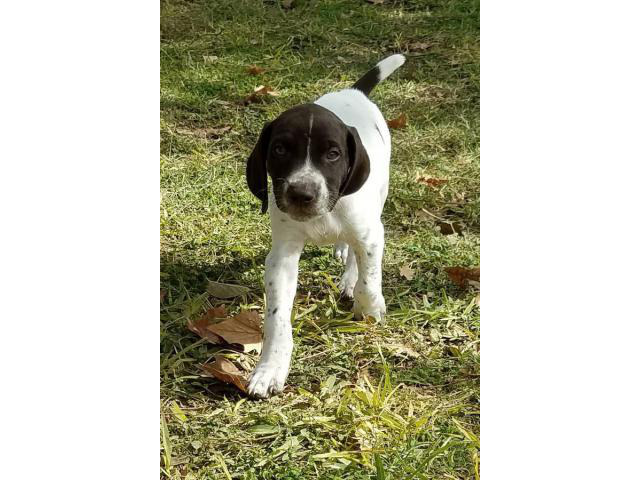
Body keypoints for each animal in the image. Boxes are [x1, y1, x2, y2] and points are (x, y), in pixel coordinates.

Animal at [245, 53, 404, 398]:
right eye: (279, 149)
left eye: (333, 154)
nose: (301, 194)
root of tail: (353, 92)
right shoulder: (282, 257)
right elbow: (277, 318)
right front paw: (271, 367)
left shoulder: (372, 235)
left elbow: (369, 279)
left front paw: (369, 309)